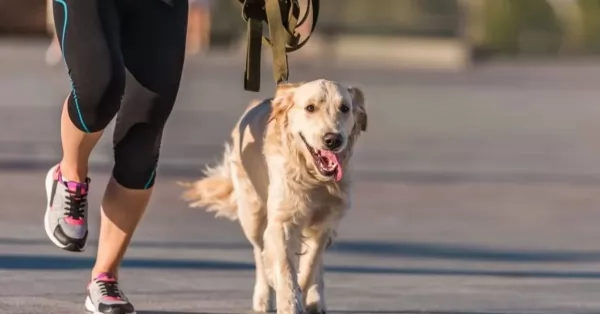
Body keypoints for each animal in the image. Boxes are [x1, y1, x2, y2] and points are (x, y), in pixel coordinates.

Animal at [179, 79, 366, 314]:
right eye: (310, 108)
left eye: (344, 108)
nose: (333, 139)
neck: (312, 177)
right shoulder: (281, 222)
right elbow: (284, 268)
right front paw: (289, 302)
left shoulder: (324, 223)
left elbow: (309, 267)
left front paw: (304, 294)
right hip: (253, 215)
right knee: (259, 253)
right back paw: (262, 296)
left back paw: (316, 298)